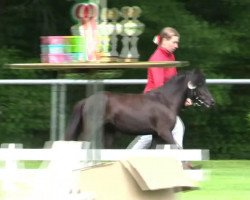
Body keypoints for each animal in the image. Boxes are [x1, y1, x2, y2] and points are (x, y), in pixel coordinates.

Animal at [65, 69, 215, 148]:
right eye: (199, 85)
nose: (212, 102)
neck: (165, 102)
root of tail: (86, 100)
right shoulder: (164, 132)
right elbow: (177, 148)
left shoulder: (156, 136)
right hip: (92, 129)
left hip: (109, 132)